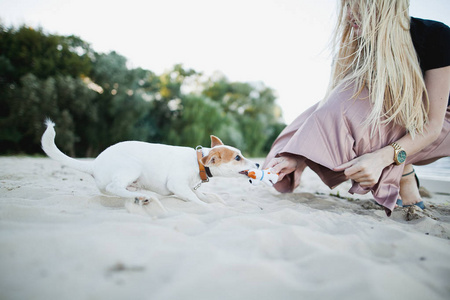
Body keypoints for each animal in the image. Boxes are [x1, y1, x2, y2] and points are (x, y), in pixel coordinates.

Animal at [42, 120, 260, 211]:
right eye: (238, 157)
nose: (258, 163)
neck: (198, 160)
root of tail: (94, 164)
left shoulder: (189, 186)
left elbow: (203, 194)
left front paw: (214, 201)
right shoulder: (177, 185)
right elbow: (196, 200)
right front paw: (209, 206)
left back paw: (138, 197)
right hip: (132, 168)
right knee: (114, 187)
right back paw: (141, 197)